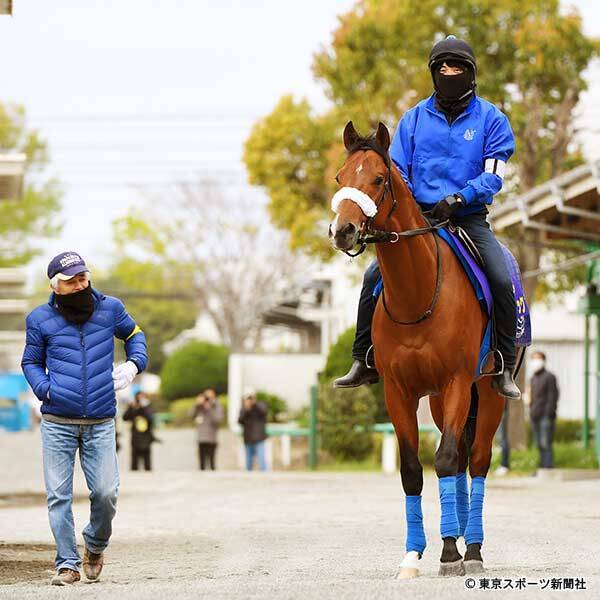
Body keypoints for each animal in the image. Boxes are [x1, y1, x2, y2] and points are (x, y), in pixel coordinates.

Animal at [330, 120, 504, 576]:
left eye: (377, 178)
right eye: (340, 177)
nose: (342, 231)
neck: (418, 292)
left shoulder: (458, 381)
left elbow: (443, 460)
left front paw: (451, 554)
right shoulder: (398, 391)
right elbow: (413, 469)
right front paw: (413, 554)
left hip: (489, 393)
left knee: (476, 460)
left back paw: (472, 548)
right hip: (442, 402)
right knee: (459, 461)